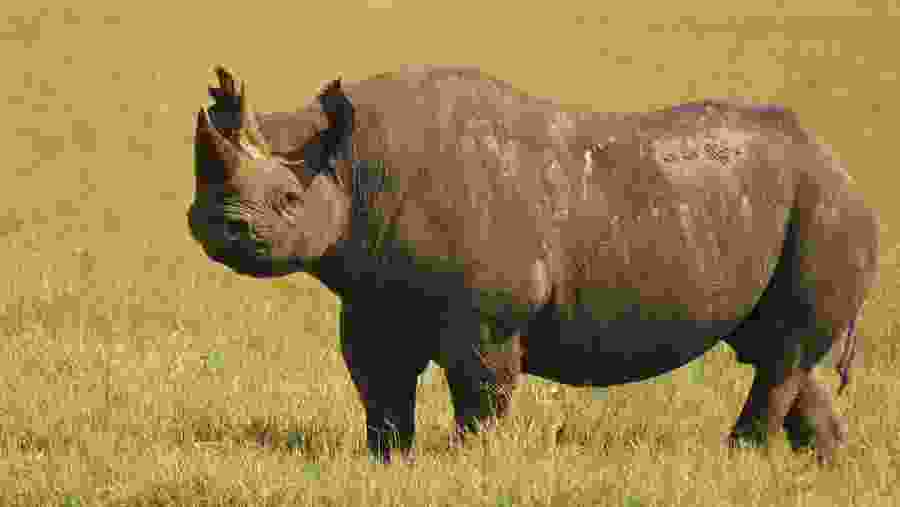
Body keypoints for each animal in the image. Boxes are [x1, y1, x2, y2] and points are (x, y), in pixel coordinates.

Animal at [187, 64, 879, 463]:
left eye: (289, 201)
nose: (221, 226)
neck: (350, 164)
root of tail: (842, 163)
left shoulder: (487, 313)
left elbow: (480, 389)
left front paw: (468, 463)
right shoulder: (375, 297)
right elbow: (378, 384)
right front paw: (387, 462)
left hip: (825, 205)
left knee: (781, 352)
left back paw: (738, 457)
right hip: (784, 205)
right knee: (772, 347)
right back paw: (818, 467)